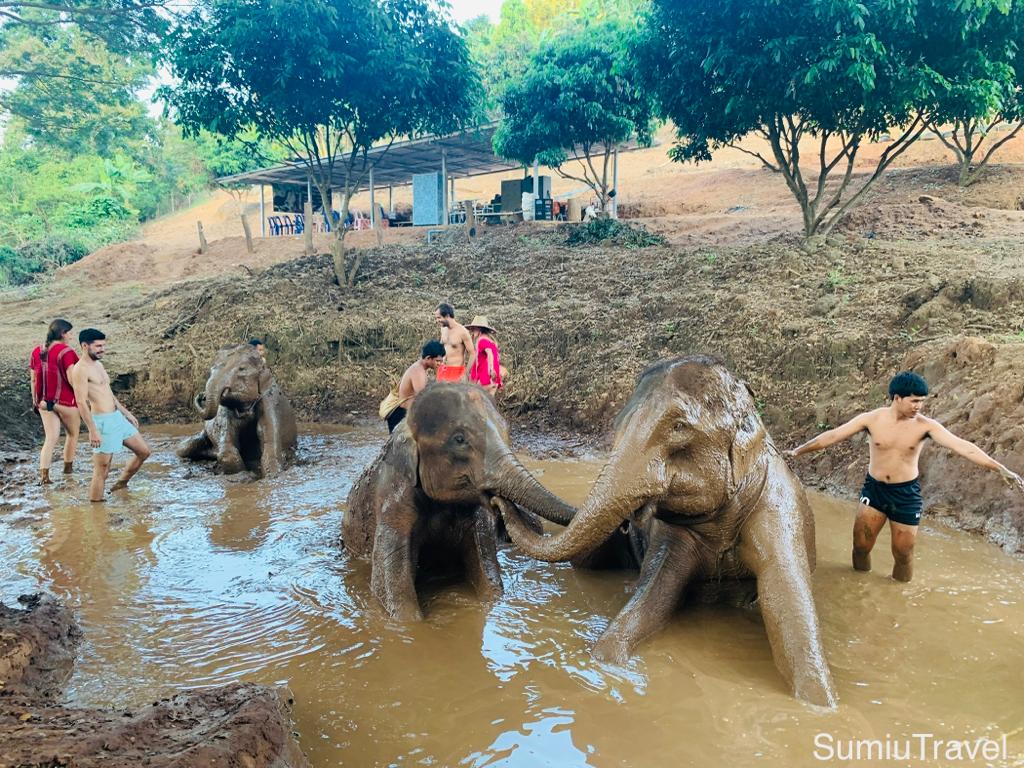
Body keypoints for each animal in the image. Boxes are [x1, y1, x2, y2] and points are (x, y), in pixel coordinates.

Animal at [176, 344, 297, 477]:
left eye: (242, 369)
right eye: (211, 369)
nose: (201, 396)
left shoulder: (271, 403)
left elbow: (267, 442)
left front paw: (273, 474)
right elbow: (226, 450)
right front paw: (244, 474)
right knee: (183, 448)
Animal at [342, 383, 576, 621]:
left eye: (507, 430)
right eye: (459, 439)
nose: (497, 501)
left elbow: (488, 578)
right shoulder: (393, 500)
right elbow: (392, 596)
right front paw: (411, 625)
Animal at [495, 356, 837, 707]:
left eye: (679, 427)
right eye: (618, 423)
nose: (497, 500)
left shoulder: (780, 511)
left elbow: (785, 599)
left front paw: (821, 704)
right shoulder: (671, 537)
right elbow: (658, 592)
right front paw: (605, 664)